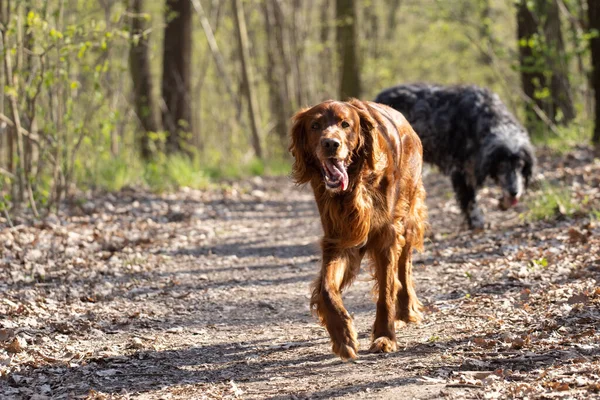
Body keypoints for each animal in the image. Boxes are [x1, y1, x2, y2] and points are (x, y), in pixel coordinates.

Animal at [290, 99, 426, 360]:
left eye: (345, 124)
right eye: (315, 125)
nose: (331, 144)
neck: (354, 184)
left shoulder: (386, 236)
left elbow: (386, 291)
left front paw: (385, 337)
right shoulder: (338, 239)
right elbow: (326, 289)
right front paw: (342, 335)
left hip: (408, 214)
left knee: (404, 265)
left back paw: (406, 310)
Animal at [372, 83, 536, 230]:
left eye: (520, 165)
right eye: (502, 165)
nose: (514, 191)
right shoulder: (460, 170)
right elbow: (469, 200)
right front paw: (476, 222)